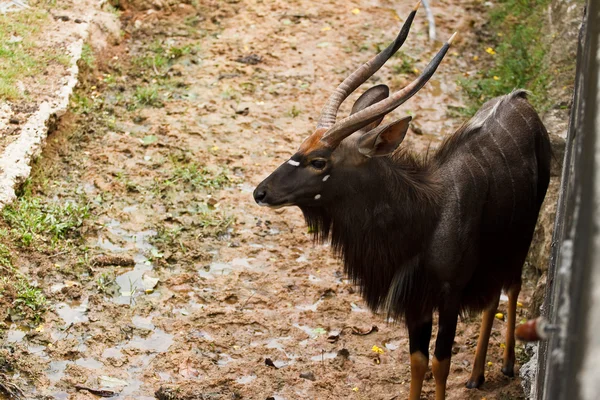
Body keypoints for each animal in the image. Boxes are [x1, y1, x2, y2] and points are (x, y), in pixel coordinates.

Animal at [252, 3, 548, 400]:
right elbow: (418, 362)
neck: (426, 215)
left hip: (521, 237)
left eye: (319, 161)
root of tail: (520, 99)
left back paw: (506, 365)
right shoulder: (415, 303)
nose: (261, 192)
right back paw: (476, 375)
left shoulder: (449, 295)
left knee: (511, 286)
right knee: (492, 296)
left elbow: (440, 362)